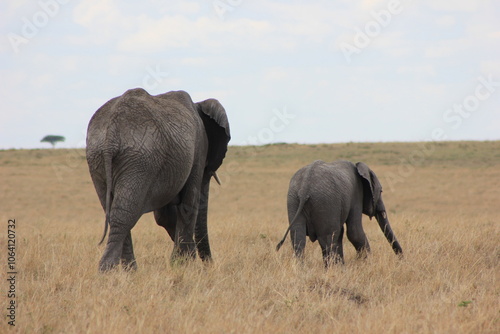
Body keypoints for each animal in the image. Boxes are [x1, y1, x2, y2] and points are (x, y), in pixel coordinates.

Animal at [87, 88, 230, 272]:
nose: (209, 265)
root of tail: (111, 132)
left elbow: (165, 215)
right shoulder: (198, 148)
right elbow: (188, 204)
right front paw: (183, 265)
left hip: (99, 158)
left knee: (114, 211)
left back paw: (129, 272)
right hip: (141, 160)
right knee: (125, 212)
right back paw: (109, 271)